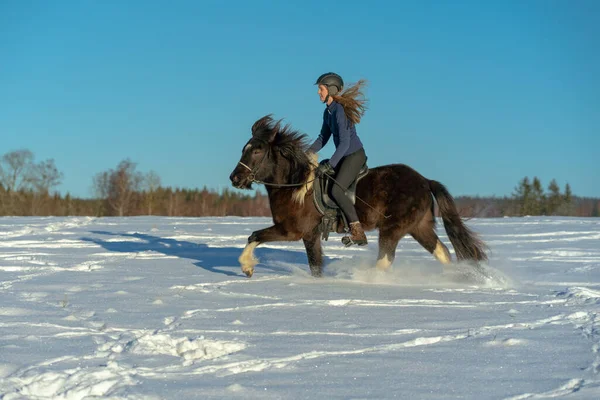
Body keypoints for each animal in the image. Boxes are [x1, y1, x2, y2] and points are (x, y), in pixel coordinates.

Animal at [229, 115, 488, 278]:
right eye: (244, 148)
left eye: (257, 150)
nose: (235, 178)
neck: (296, 185)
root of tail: (425, 181)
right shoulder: (310, 235)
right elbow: (315, 266)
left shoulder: (292, 230)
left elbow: (254, 235)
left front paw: (247, 268)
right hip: (419, 227)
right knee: (442, 252)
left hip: (393, 228)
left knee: (384, 260)